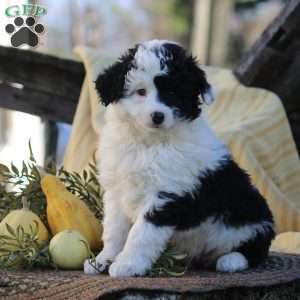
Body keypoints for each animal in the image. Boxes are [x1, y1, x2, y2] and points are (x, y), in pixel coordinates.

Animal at [84, 39, 274, 276]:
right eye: (140, 92)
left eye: (174, 92)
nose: (157, 116)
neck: (149, 143)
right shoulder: (117, 191)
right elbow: (114, 231)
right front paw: (102, 260)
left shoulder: (166, 195)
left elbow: (141, 234)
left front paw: (128, 265)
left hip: (254, 221)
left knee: (254, 250)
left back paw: (231, 261)